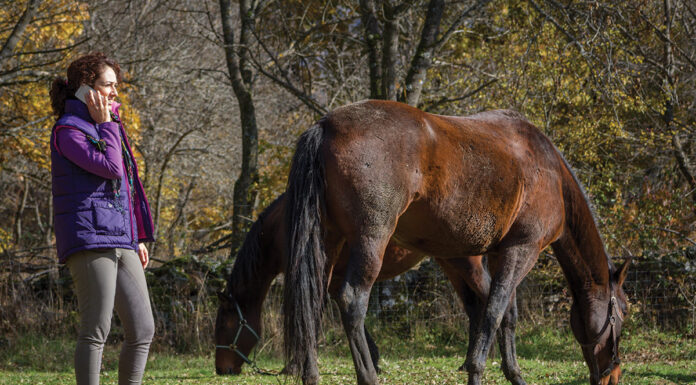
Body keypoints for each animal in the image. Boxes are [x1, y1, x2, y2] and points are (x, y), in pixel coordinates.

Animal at [215, 194, 524, 382]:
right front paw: (373, 360)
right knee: (474, 308)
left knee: (489, 302)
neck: (281, 228)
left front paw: (294, 365)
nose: (221, 369)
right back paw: (469, 361)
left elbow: (312, 320)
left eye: (224, 326)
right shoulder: (334, 281)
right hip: (450, 262)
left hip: (464, 264)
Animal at [282, 100, 632, 384]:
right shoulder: (522, 251)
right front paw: (477, 371)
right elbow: (493, 313)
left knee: (312, 301)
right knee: (353, 302)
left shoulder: (501, 254)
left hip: (329, 242)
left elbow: (507, 315)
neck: (551, 174)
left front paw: (514, 375)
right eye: (624, 312)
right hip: (370, 240)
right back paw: (368, 376)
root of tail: (325, 126)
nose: (613, 374)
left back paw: (311, 376)